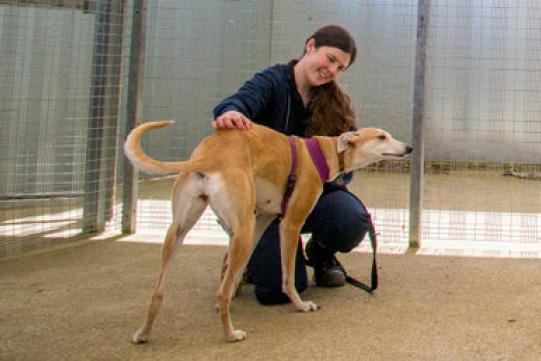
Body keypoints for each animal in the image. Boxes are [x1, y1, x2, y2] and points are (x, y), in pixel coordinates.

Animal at [124, 119, 412, 342]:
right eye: (381, 136)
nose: (409, 147)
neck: (323, 152)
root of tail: (210, 155)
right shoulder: (289, 224)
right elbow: (287, 277)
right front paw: (300, 305)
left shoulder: (262, 219)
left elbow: (236, 272)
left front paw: (234, 290)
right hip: (240, 229)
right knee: (221, 290)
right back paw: (231, 334)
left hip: (184, 231)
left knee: (159, 292)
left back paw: (143, 333)